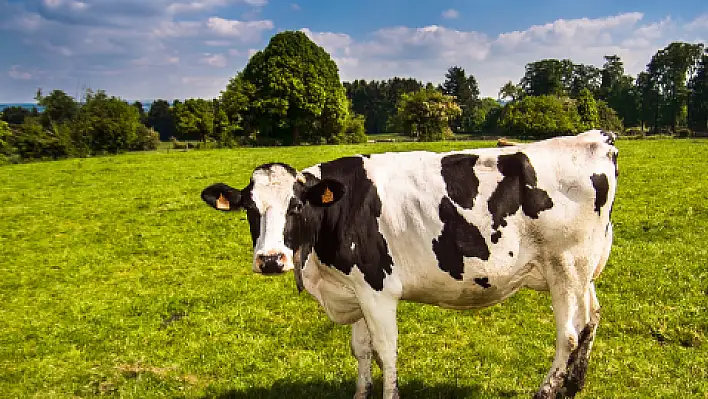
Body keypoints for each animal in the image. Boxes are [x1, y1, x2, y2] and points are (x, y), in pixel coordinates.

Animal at [201, 130, 620, 398]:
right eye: (250, 208)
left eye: (297, 205)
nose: (271, 260)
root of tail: (594, 139)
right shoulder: (353, 289)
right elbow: (361, 349)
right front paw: (361, 393)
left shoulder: (377, 289)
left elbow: (386, 350)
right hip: (583, 270)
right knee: (591, 319)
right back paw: (572, 386)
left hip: (565, 266)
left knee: (569, 334)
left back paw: (547, 391)